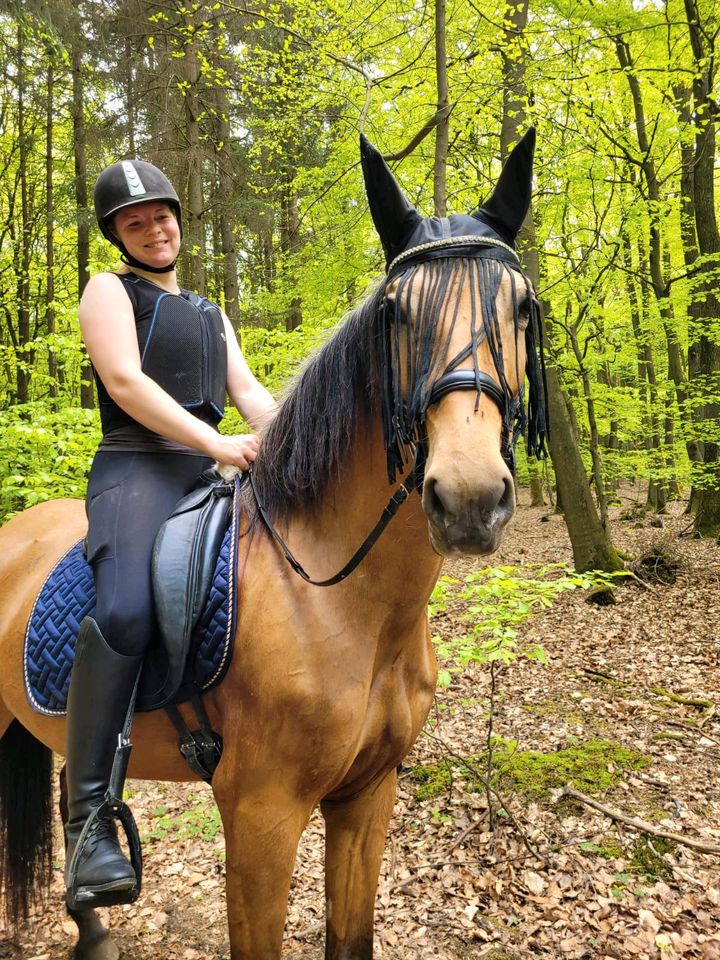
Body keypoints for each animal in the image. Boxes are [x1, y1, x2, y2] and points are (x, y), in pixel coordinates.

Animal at [0, 129, 544, 960]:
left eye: (521, 307)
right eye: (396, 314)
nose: (470, 498)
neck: (338, 601)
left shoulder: (367, 796)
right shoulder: (262, 814)